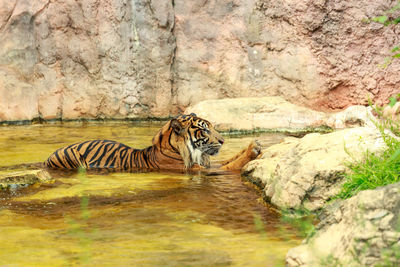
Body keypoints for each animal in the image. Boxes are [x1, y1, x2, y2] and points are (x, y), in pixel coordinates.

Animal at [44, 113, 262, 172]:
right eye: (205, 129)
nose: (223, 141)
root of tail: (47, 158)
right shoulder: (195, 169)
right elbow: (230, 165)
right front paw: (253, 149)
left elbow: (228, 159)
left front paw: (253, 145)